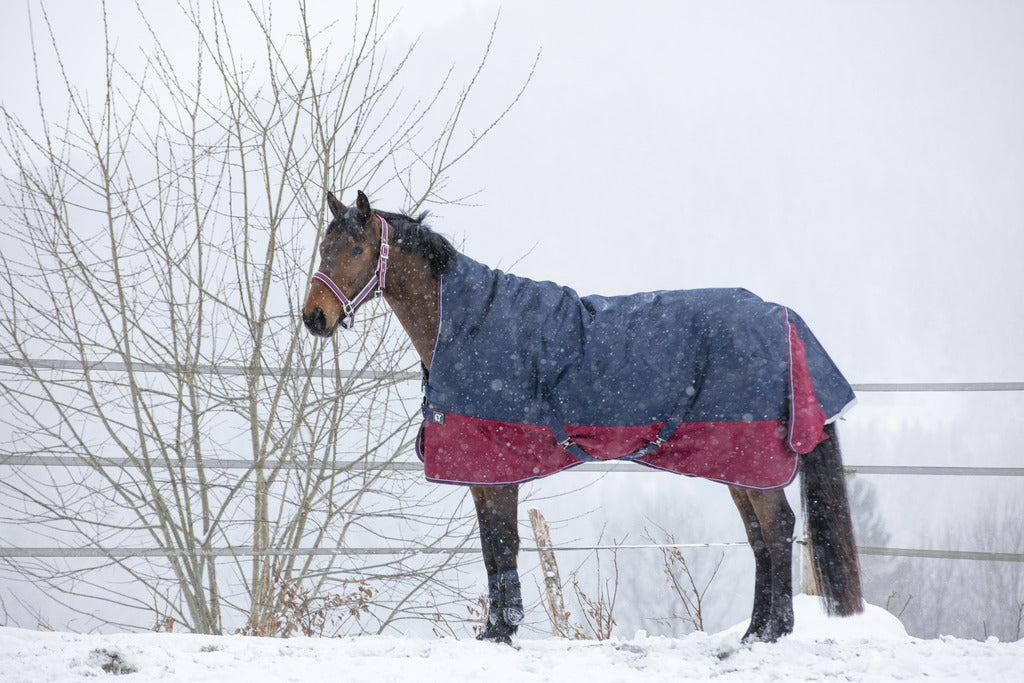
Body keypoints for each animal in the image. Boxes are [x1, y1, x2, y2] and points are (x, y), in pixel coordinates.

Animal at [303, 189, 864, 643]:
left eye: (356, 250)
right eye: (323, 248)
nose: (314, 317)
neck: (464, 325)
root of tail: (784, 319)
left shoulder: (498, 467)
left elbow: (503, 545)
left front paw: (503, 631)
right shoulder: (482, 474)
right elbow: (490, 548)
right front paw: (494, 630)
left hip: (755, 462)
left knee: (778, 528)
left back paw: (772, 633)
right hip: (738, 465)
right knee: (759, 538)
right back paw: (753, 631)